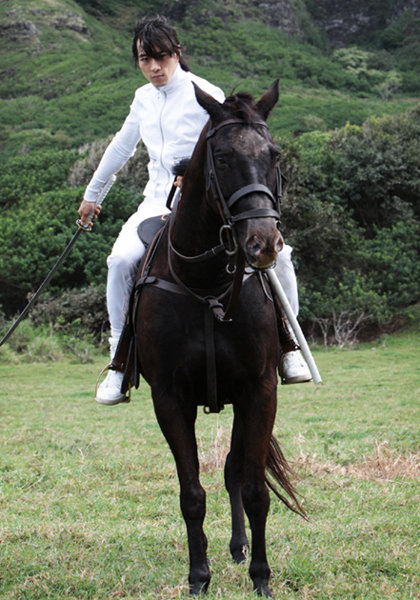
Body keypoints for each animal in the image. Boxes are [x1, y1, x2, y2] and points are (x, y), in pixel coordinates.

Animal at [135, 82, 306, 596]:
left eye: (274, 155)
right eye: (225, 157)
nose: (264, 243)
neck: (208, 283)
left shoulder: (259, 391)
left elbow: (254, 490)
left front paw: (261, 578)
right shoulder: (169, 398)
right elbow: (191, 493)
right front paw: (198, 576)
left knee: (235, 470)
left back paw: (239, 547)